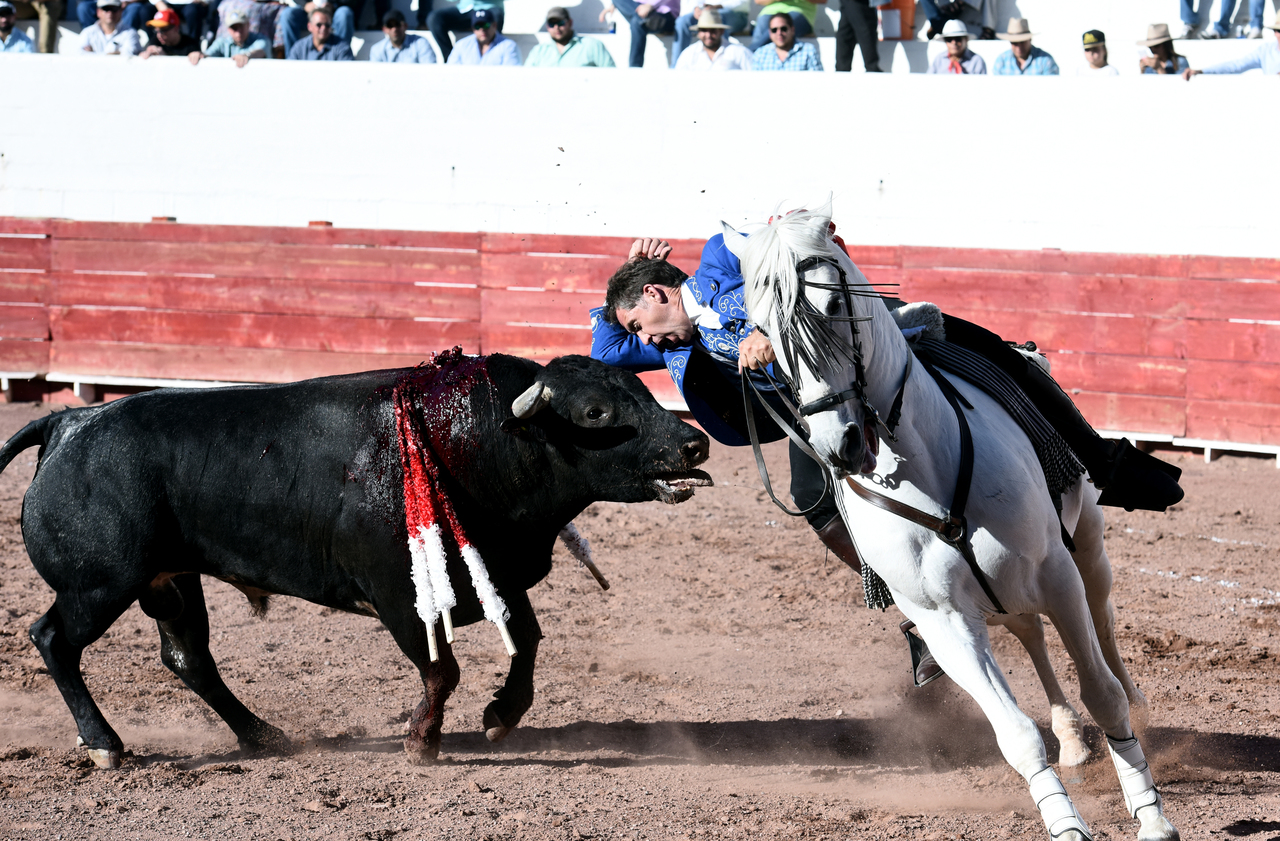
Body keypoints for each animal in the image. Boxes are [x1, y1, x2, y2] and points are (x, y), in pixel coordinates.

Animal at [0, 350, 711, 762]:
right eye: (595, 412)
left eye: (645, 392)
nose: (694, 444)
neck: (474, 440)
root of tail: (69, 424)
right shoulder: (400, 595)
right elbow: (441, 669)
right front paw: (421, 741)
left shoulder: (500, 576)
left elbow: (528, 641)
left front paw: (500, 718)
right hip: (100, 585)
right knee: (54, 639)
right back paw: (106, 746)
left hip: (168, 581)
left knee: (188, 658)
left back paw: (264, 736)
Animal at [732, 209, 1177, 839]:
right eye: (762, 326)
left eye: (834, 303)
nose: (840, 444)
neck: (925, 465)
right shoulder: (944, 619)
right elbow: (1015, 735)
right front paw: (1065, 822)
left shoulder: (1055, 572)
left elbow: (1102, 693)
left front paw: (1151, 816)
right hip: (1003, 596)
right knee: (1031, 634)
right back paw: (1069, 738)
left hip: (1087, 546)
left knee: (1104, 619)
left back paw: (1135, 703)